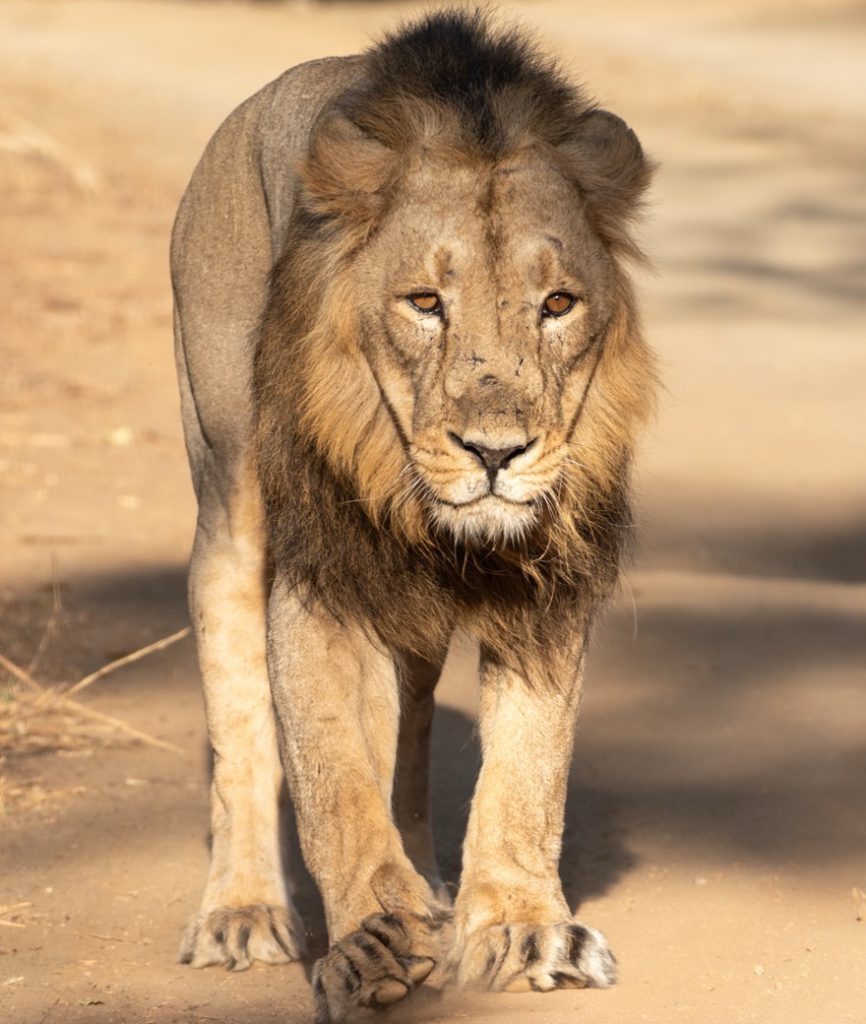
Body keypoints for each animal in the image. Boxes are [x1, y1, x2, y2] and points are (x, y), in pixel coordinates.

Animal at [171, 9, 656, 1021]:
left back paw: (429, 885)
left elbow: (528, 771)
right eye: (425, 303)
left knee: (414, 728)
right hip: (227, 493)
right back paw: (242, 911)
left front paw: (519, 928)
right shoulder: (317, 575)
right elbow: (330, 773)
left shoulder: (545, 586)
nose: (496, 453)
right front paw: (371, 946)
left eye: (558, 303)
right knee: (241, 711)